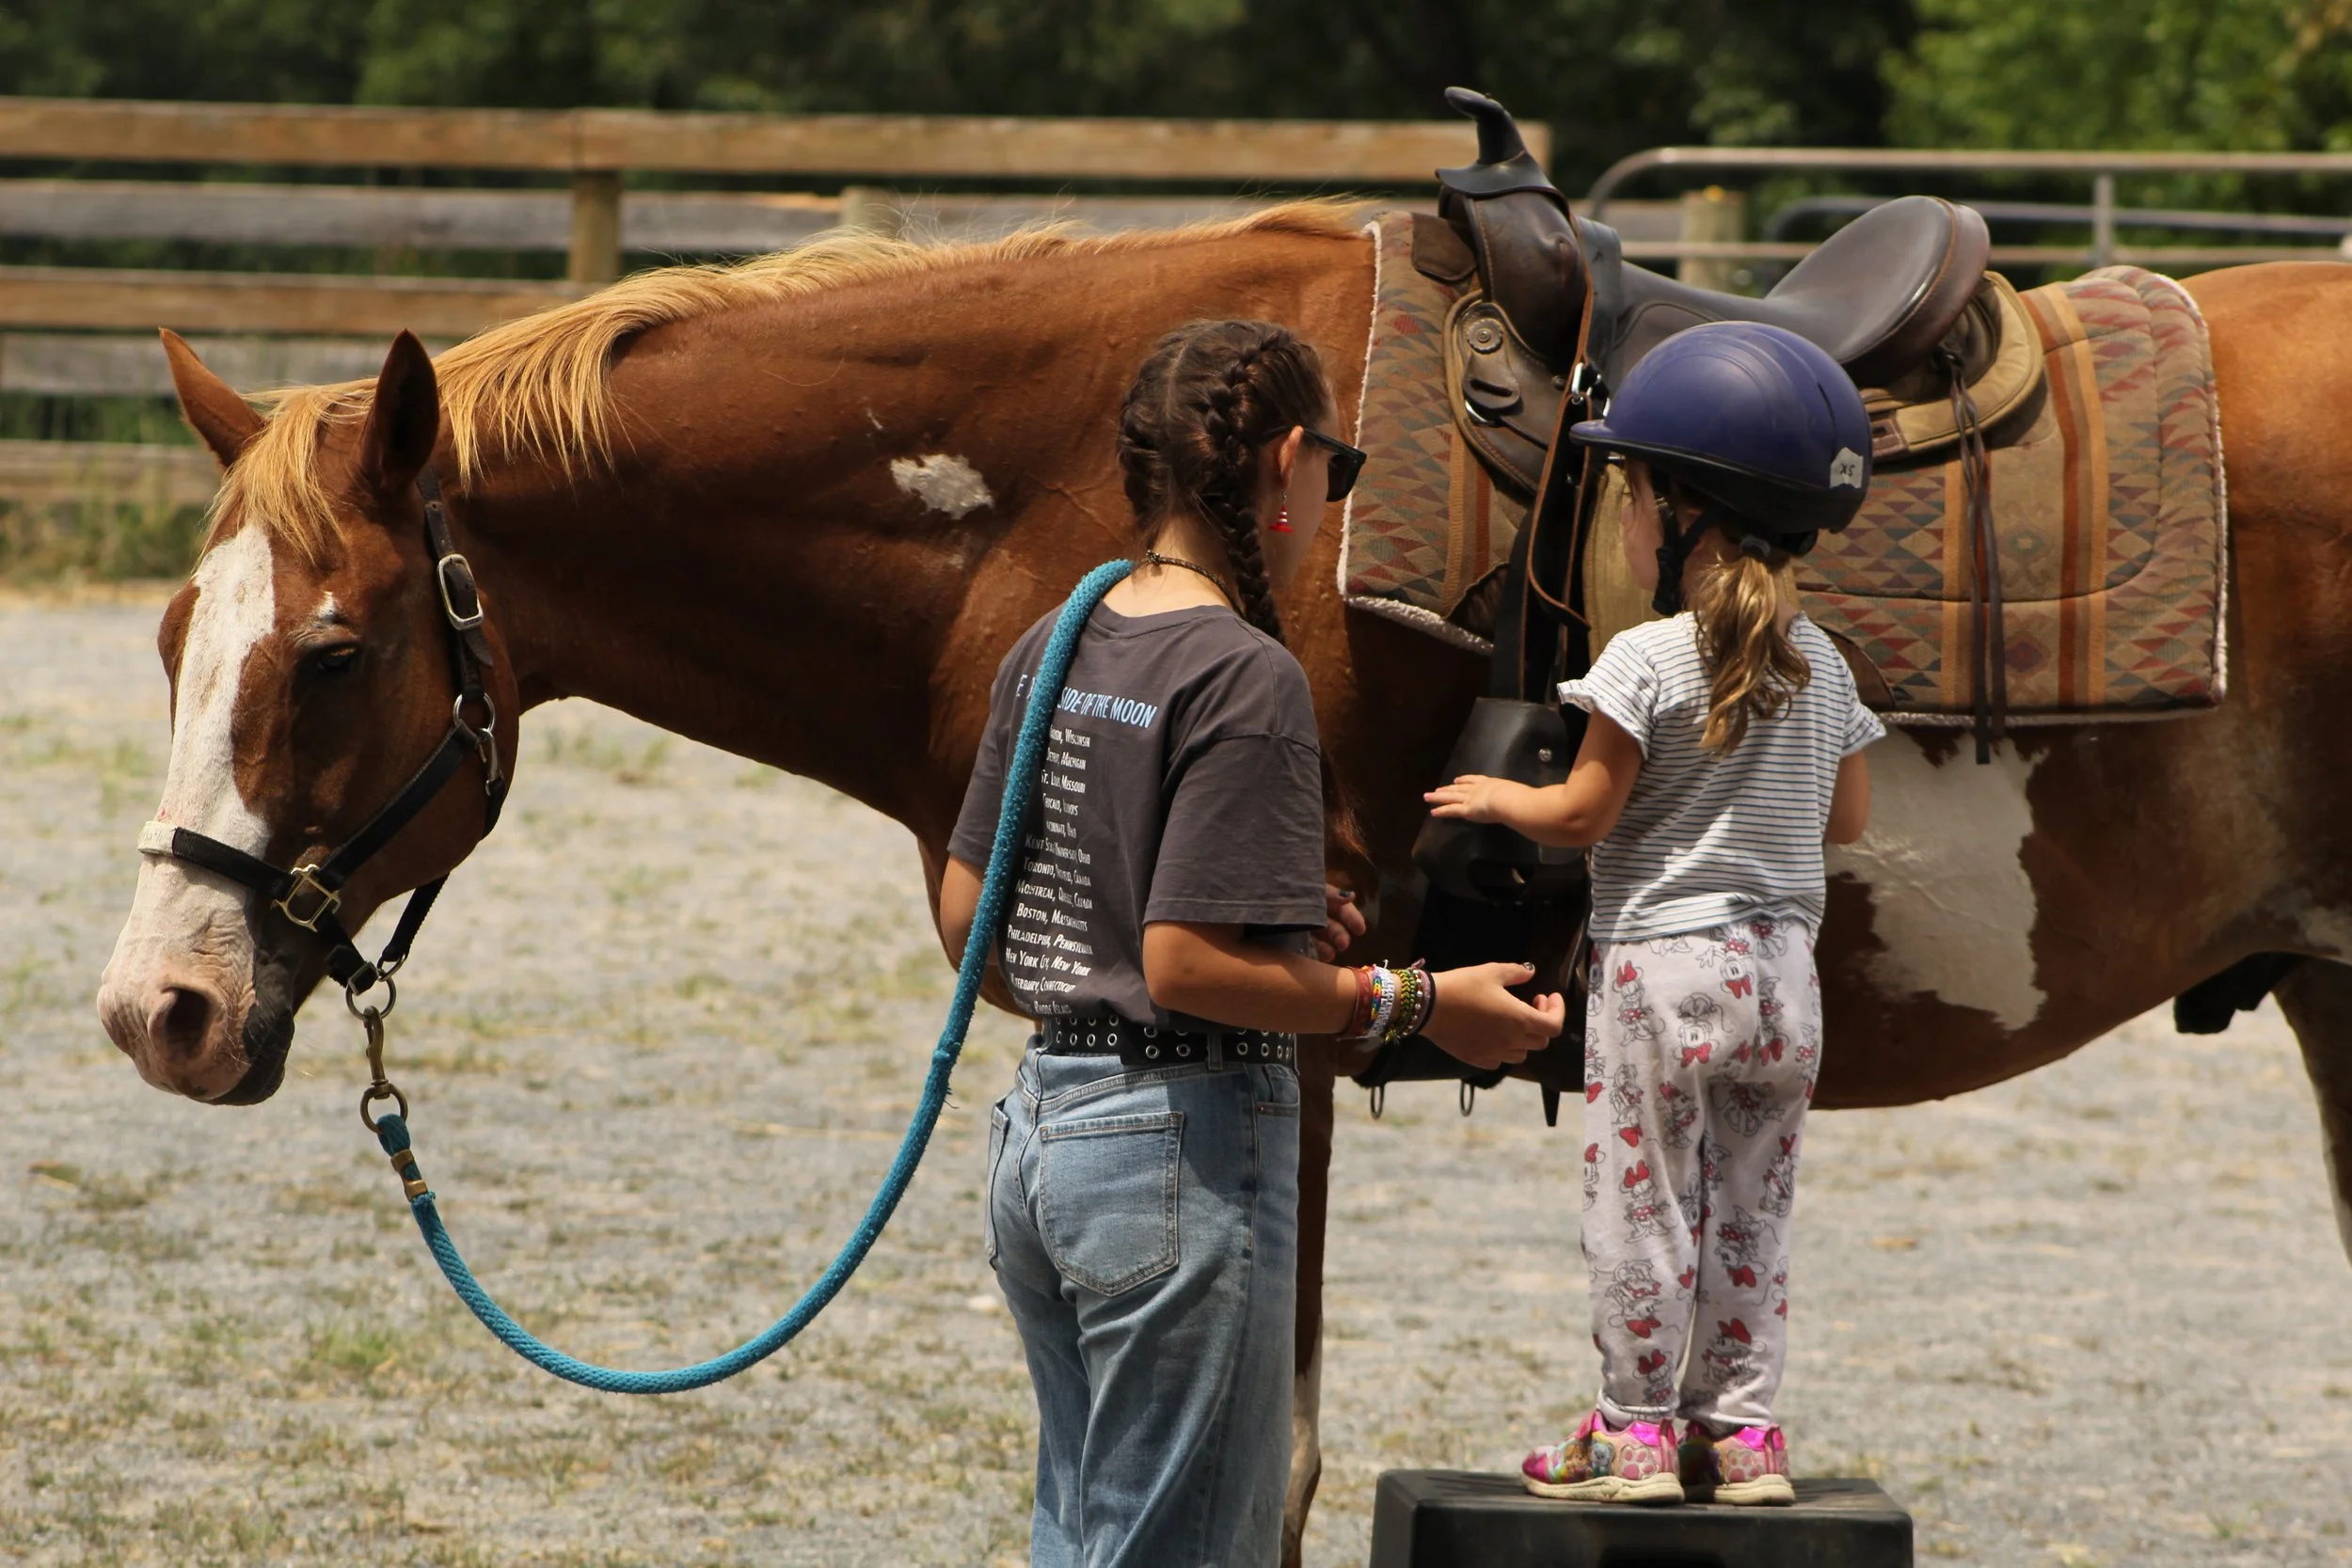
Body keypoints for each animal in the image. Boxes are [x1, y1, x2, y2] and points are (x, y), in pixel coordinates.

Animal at [91, 204, 2352, 1557]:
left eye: (332, 652)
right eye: (168, 635)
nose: (157, 1007)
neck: (1075, 497)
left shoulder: (1287, 1021)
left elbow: (1258, 1461)